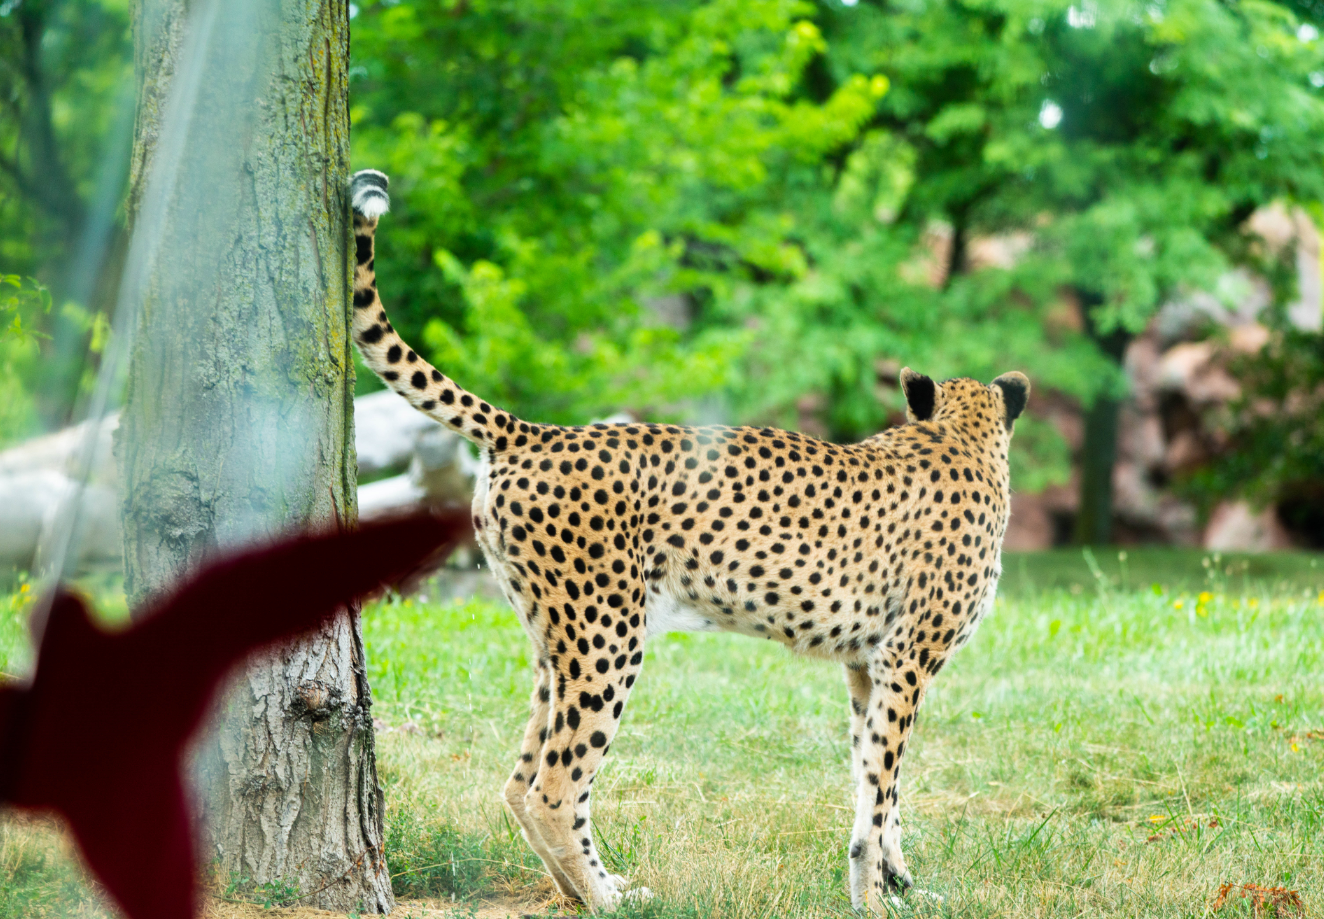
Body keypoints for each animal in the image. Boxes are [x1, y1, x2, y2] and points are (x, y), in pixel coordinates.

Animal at [349, 168, 1030, 913]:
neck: (959, 434)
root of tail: (537, 431)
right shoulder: (905, 659)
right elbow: (879, 790)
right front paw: (873, 896)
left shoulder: (865, 664)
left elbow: (877, 781)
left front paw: (900, 881)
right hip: (606, 637)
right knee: (556, 788)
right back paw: (608, 899)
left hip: (552, 643)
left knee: (520, 784)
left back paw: (589, 891)